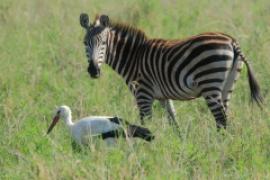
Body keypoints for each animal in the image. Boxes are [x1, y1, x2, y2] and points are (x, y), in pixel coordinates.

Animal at [78, 13, 264, 130]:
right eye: (85, 43)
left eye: (103, 43)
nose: (93, 71)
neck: (133, 57)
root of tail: (232, 41)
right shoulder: (163, 96)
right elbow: (174, 121)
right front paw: (179, 144)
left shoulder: (143, 93)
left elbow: (146, 121)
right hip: (227, 85)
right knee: (225, 119)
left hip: (210, 83)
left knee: (221, 120)